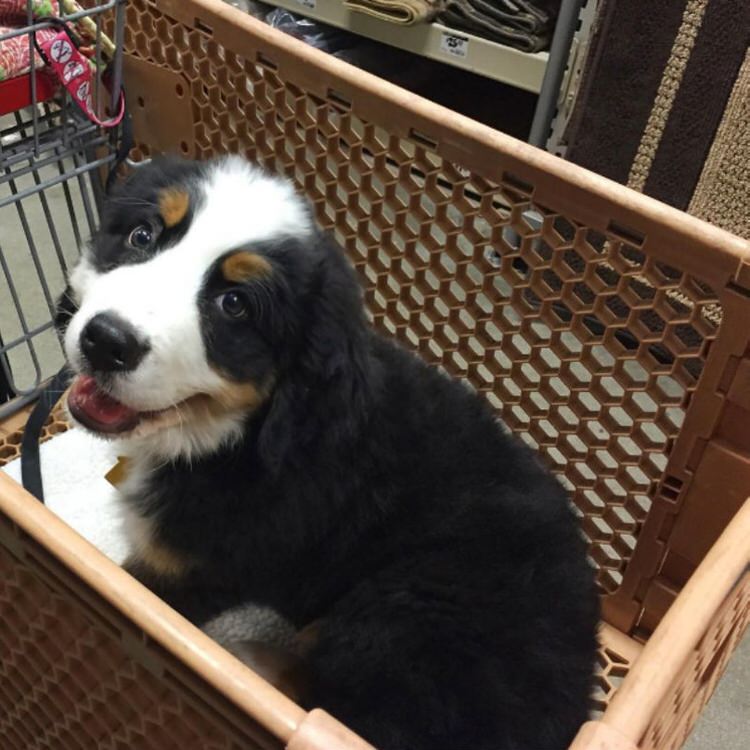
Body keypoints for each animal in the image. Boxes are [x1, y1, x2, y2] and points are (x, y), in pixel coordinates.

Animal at [57, 155, 599, 750]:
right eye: (142, 235)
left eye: (234, 304)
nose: (107, 341)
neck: (230, 439)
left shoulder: (184, 568)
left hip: (402, 612)